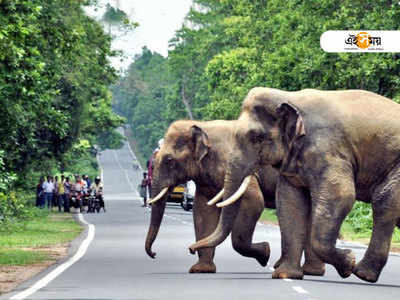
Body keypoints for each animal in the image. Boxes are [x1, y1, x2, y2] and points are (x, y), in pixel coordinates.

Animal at [145, 119, 324, 274]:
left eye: (169, 160)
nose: (154, 254)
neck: (203, 126)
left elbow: (253, 201)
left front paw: (265, 253)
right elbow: (203, 210)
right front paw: (201, 269)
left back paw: (305, 270)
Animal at [190, 88, 400, 282]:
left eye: (257, 138)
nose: (191, 249)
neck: (290, 97)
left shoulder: (327, 150)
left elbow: (341, 195)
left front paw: (348, 263)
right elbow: (290, 201)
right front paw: (285, 275)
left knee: (384, 201)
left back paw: (363, 274)